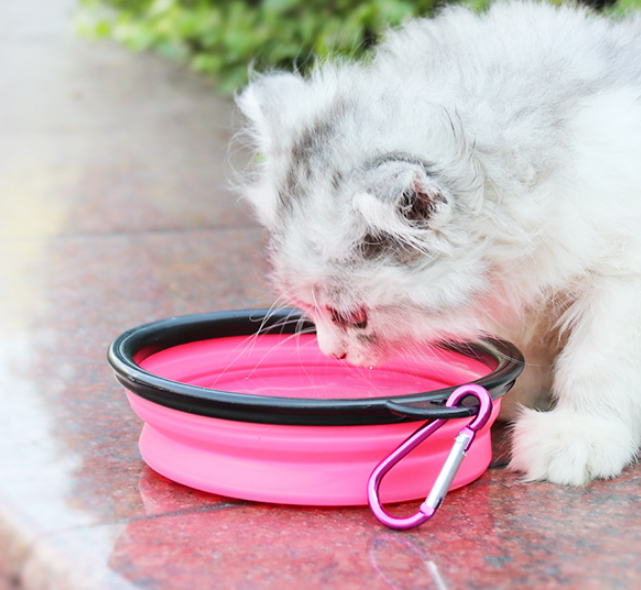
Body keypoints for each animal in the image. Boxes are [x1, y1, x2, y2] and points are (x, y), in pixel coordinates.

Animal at [238, 1, 640, 486]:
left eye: (351, 317)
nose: (331, 353)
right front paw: (512, 397)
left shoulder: (623, 280)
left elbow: (598, 363)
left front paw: (579, 432)